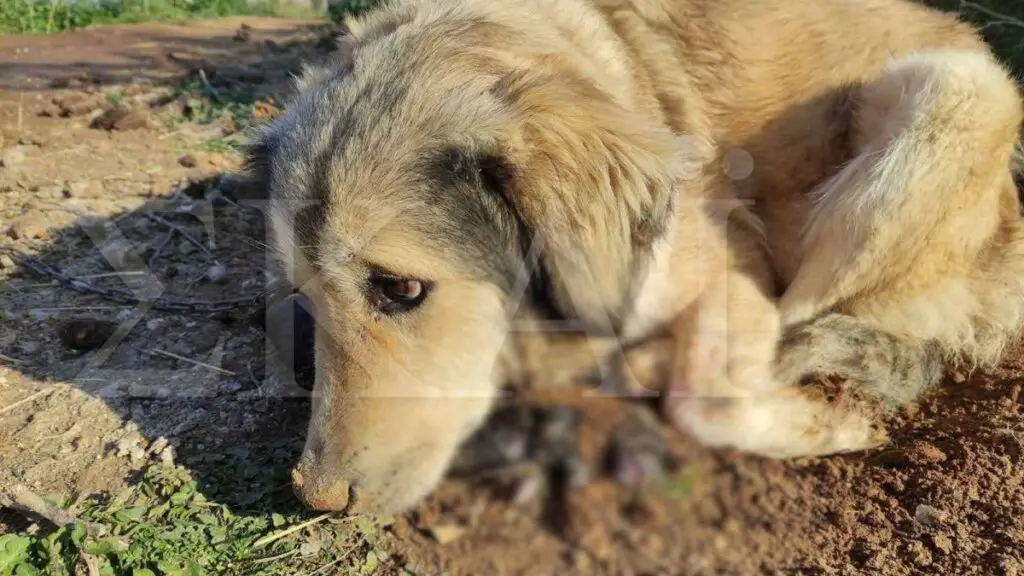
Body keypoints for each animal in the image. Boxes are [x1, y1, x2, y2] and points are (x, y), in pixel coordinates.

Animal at [247, 0, 1024, 510]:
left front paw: (826, 423)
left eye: (399, 289)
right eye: (303, 297)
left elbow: (708, 401)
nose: (314, 497)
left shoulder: (737, 275)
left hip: (954, 97)